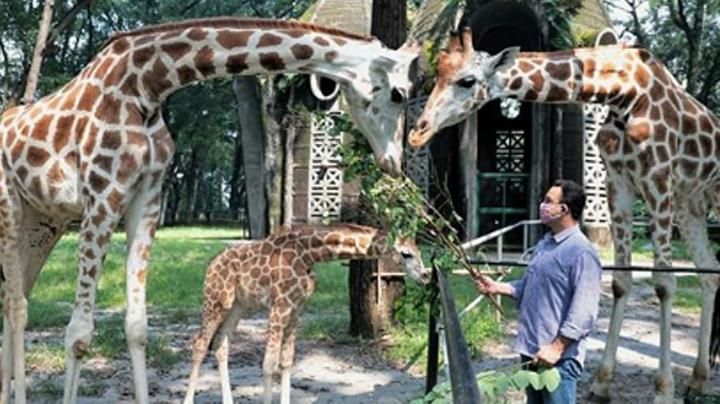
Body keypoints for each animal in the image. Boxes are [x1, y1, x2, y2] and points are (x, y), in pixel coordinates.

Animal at [183, 224, 428, 404]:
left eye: (419, 250)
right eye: (406, 254)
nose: (426, 276)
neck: (310, 254)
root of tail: (211, 265)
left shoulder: (297, 308)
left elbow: (286, 360)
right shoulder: (280, 305)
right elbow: (269, 363)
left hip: (238, 306)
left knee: (220, 344)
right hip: (216, 300)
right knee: (199, 343)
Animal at [408, 27, 720, 400]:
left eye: (467, 80)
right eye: (438, 75)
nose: (417, 131)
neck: (624, 94)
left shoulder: (657, 178)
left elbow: (663, 283)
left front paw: (662, 391)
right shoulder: (619, 183)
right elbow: (620, 281)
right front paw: (602, 383)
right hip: (692, 205)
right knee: (710, 272)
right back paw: (697, 380)